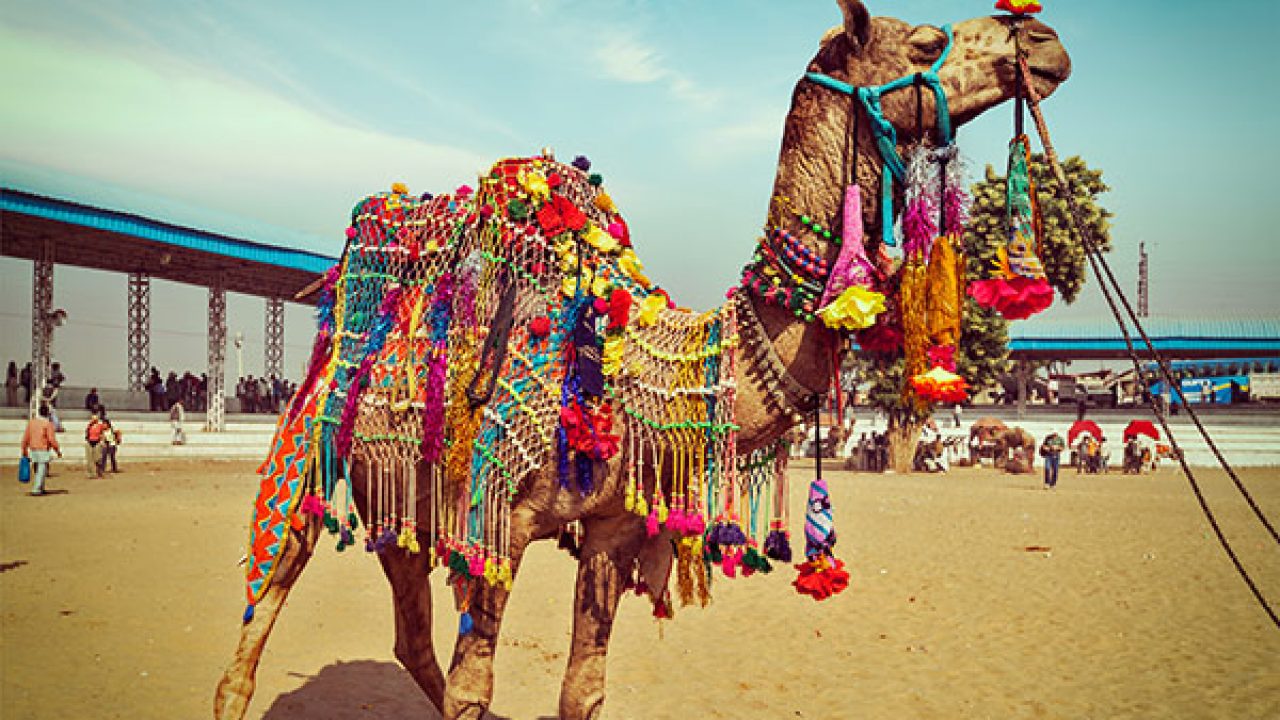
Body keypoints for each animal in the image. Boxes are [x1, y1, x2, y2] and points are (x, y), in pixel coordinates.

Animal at [212, 2, 1070, 712]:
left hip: (400, 498)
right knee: (259, 617)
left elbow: (582, 689)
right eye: (925, 40)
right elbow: (472, 690)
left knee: (408, 635)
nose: (1042, 40)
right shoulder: (500, 520)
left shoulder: (614, 529)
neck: (640, 361)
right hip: (309, 451)